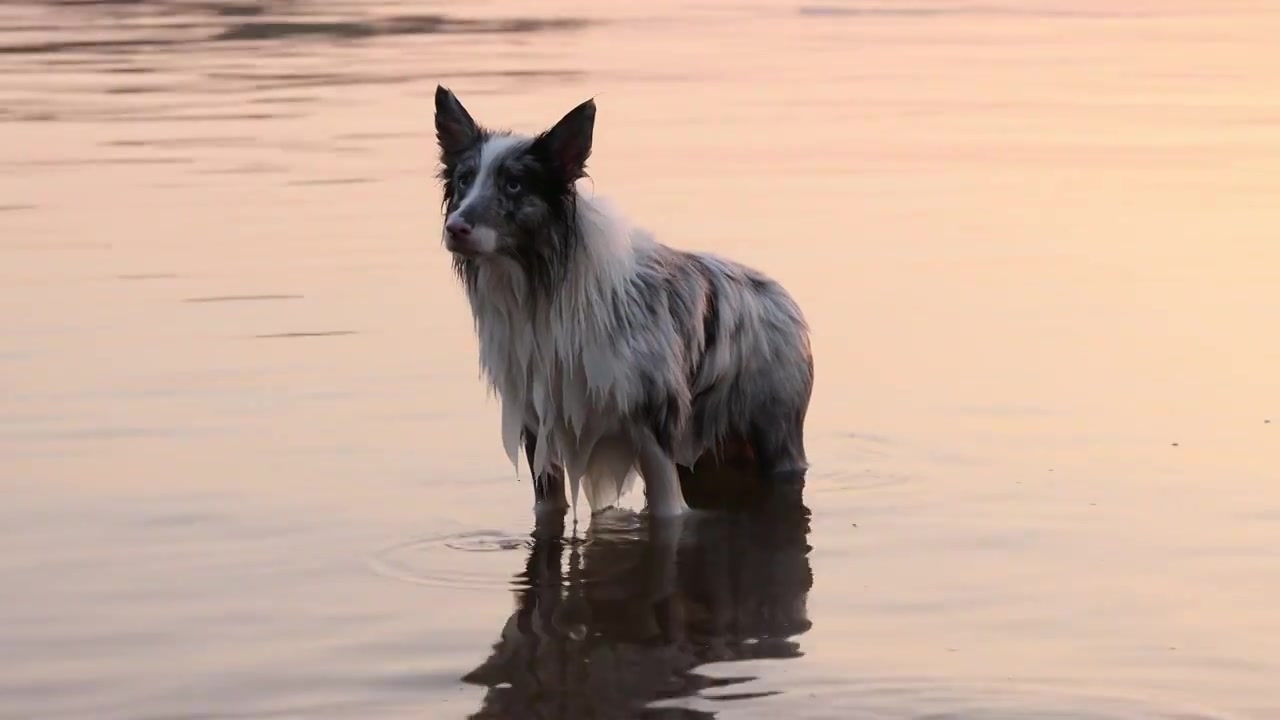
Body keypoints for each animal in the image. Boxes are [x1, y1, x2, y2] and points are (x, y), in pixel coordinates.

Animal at [430, 85, 808, 515]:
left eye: (514, 185)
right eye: (464, 180)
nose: (455, 227)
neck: (546, 288)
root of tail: (779, 295)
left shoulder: (654, 427)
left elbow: (668, 512)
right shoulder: (539, 428)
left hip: (775, 439)